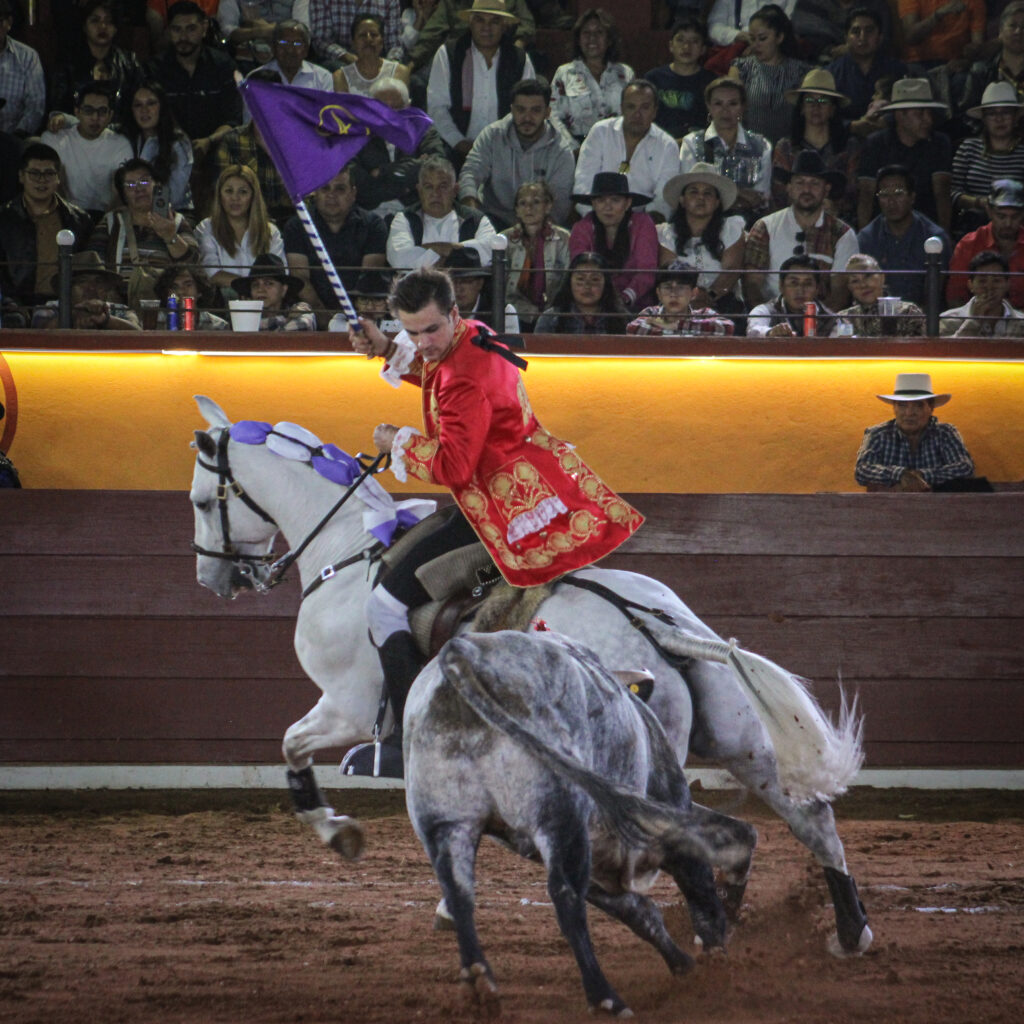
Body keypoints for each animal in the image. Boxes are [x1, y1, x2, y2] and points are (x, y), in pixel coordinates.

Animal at [188, 395, 868, 954]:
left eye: (199, 501)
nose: (213, 579)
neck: (348, 554)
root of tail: (655, 623)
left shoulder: (347, 706)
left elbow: (291, 745)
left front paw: (336, 832)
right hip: (739, 738)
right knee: (810, 819)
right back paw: (845, 932)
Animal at [403, 630, 757, 1015]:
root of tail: (465, 650)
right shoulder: (667, 807)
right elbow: (697, 885)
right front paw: (713, 958)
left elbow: (639, 913)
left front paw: (685, 964)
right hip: (561, 817)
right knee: (565, 895)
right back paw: (605, 997)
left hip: (448, 823)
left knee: (459, 890)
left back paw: (478, 982)